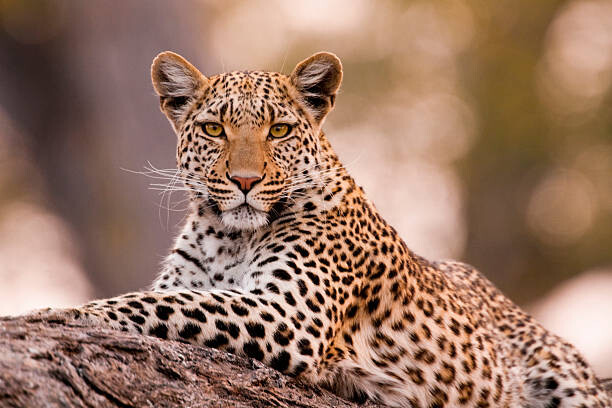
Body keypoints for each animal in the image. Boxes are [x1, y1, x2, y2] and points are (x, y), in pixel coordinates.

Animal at [26, 51, 608, 408]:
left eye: (279, 130)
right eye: (214, 129)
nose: (244, 181)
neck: (228, 238)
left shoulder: (289, 314)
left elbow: (157, 304)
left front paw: (56, 313)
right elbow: (170, 296)